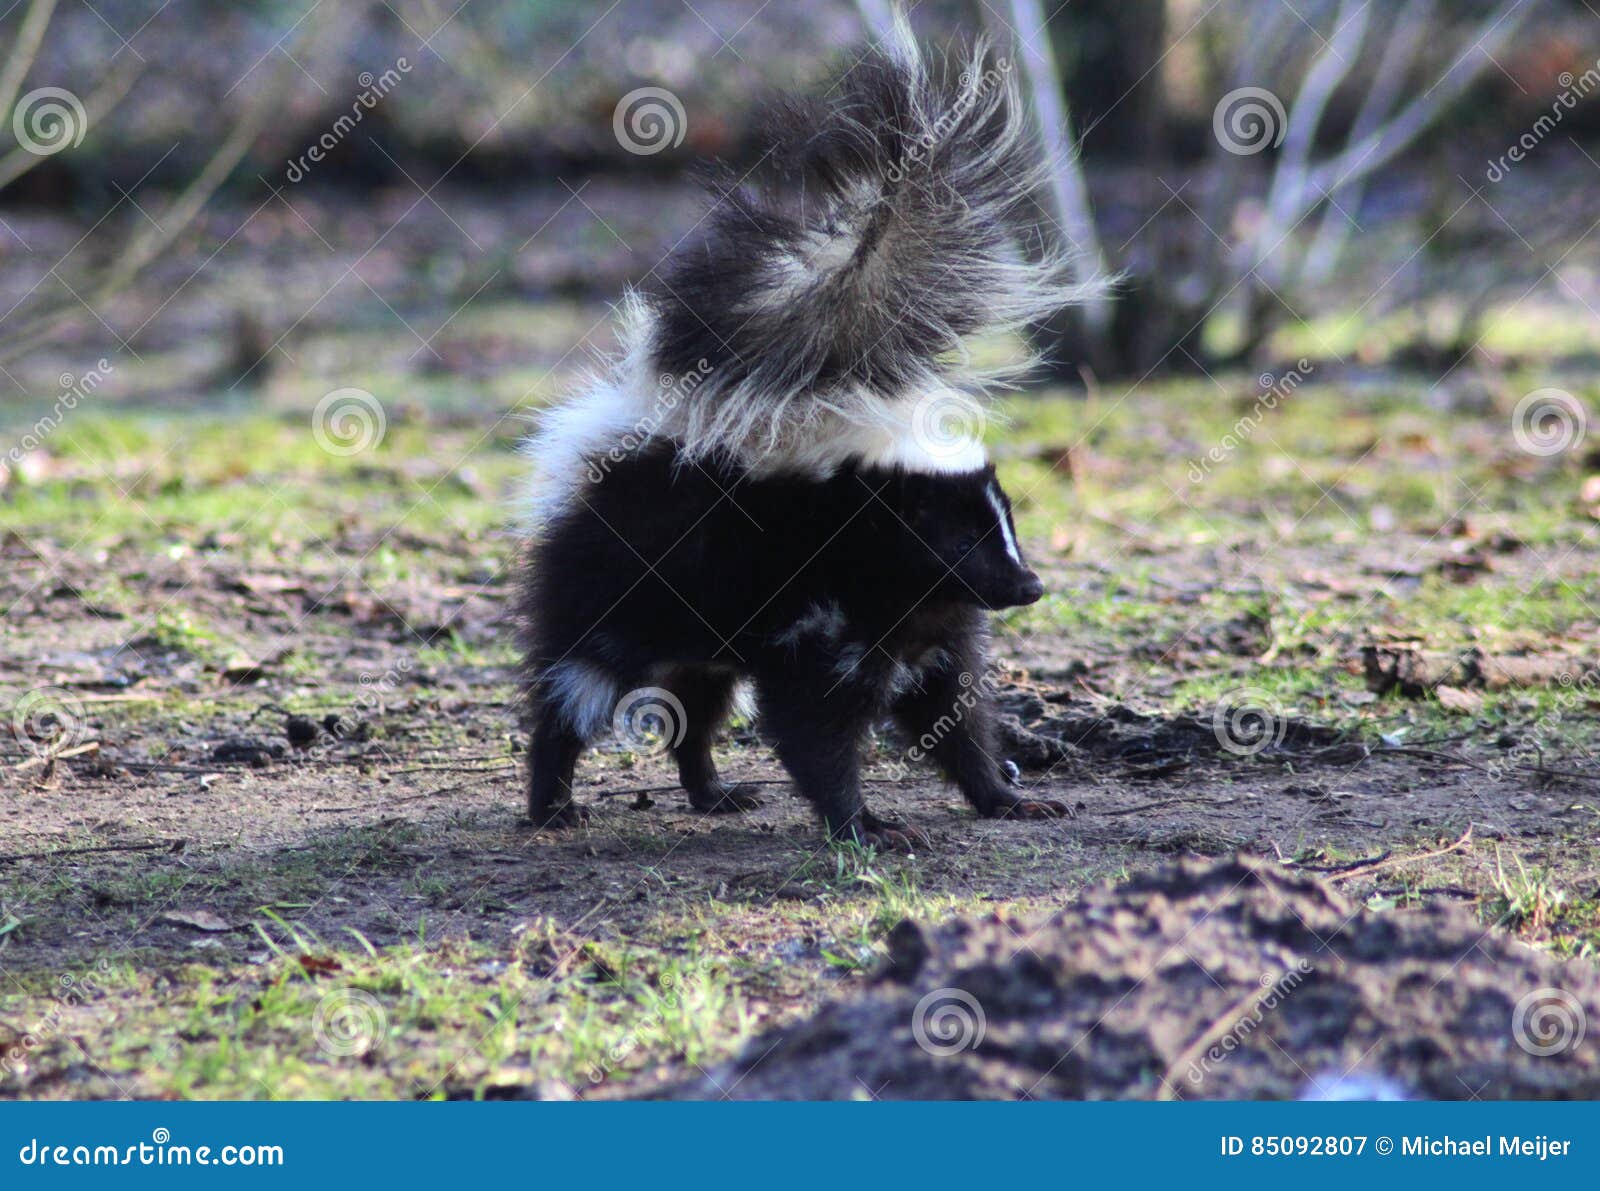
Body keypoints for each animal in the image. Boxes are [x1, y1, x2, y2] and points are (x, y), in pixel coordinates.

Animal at [518, 28, 1094, 845]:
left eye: (1009, 528)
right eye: (958, 540)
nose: (1029, 585)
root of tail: (648, 421)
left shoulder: (932, 633)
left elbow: (953, 716)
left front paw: (1006, 797)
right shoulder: (817, 617)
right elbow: (813, 723)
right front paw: (866, 826)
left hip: (700, 618)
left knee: (695, 703)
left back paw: (713, 792)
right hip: (621, 587)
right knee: (574, 687)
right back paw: (553, 802)